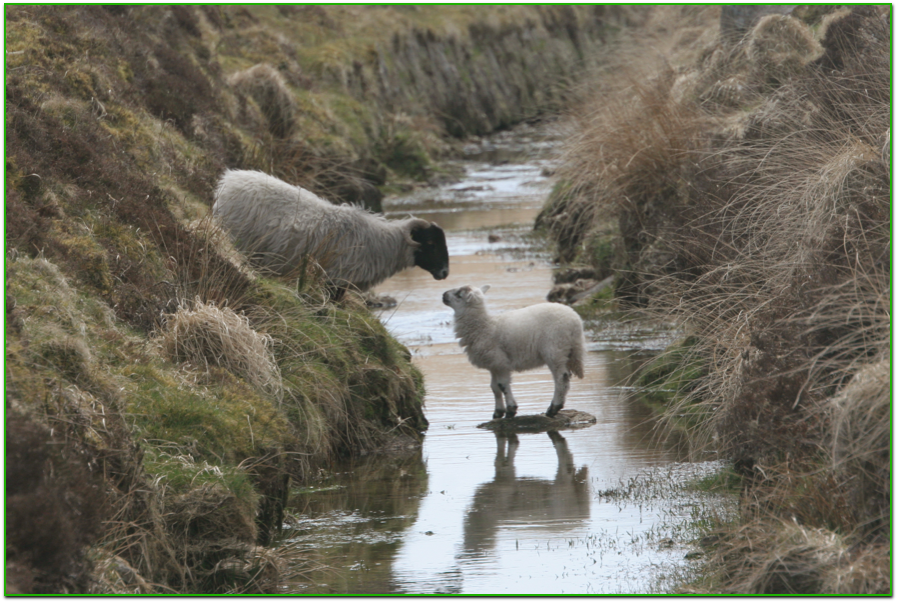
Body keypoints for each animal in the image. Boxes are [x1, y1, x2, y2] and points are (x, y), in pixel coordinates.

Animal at [211, 170, 448, 292]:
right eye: (431, 243)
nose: (445, 273)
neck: (382, 243)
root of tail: (229, 180)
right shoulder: (335, 279)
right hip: (239, 238)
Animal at [442, 284, 584, 418]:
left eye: (459, 295)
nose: (443, 295)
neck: (484, 326)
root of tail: (575, 321)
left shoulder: (500, 362)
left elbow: (502, 385)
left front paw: (510, 410)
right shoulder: (494, 364)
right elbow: (494, 387)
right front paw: (498, 412)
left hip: (555, 349)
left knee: (561, 378)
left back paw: (553, 408)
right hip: (567, 350)